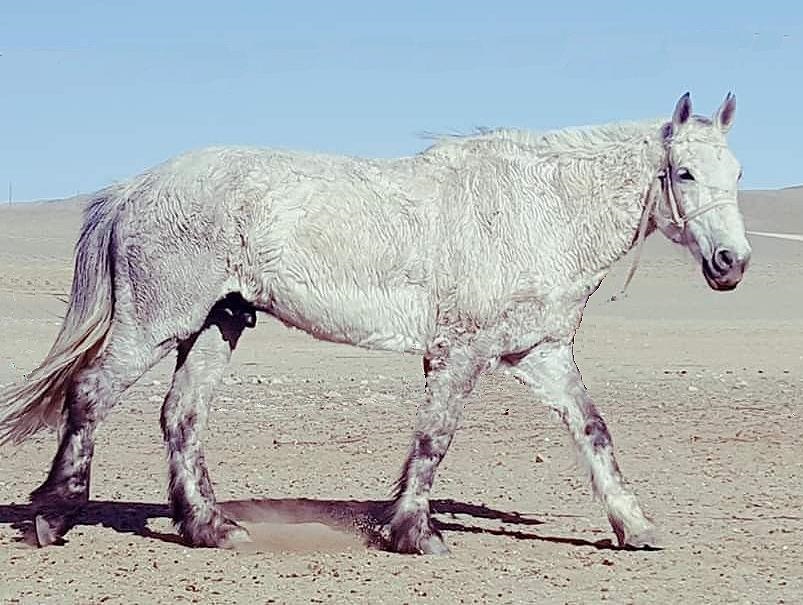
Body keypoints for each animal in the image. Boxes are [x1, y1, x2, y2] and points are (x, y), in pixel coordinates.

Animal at [0, 92, 750, 554]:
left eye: (738, 172)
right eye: (683, 172)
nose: (732, 263)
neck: (533, 208)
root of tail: (136, 186)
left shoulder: (540, 352)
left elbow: (593, 430)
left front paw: (634, 526)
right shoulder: (460, 352)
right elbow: (434, 438)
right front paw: (416, 534)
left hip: (217, 324)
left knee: (181, 416)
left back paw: (209, 528)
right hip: (156, 322)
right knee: (91, 394)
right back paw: (52, 516)